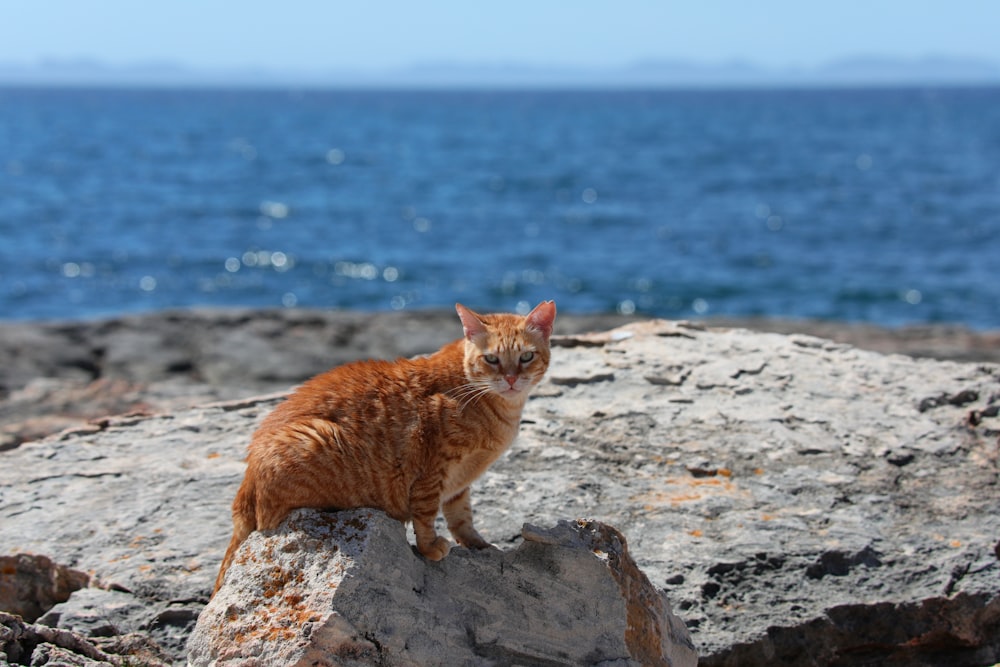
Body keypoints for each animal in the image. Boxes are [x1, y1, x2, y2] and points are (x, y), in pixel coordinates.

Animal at [215, 300, 556, 592]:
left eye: (526, 357)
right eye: (492, 359)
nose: (511, 379)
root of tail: (244, 487)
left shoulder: (459, 483)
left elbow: (462, 517)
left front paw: (478, 544)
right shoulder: (432, 469)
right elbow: (426, 515)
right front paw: (430, 548)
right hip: (314, 438)